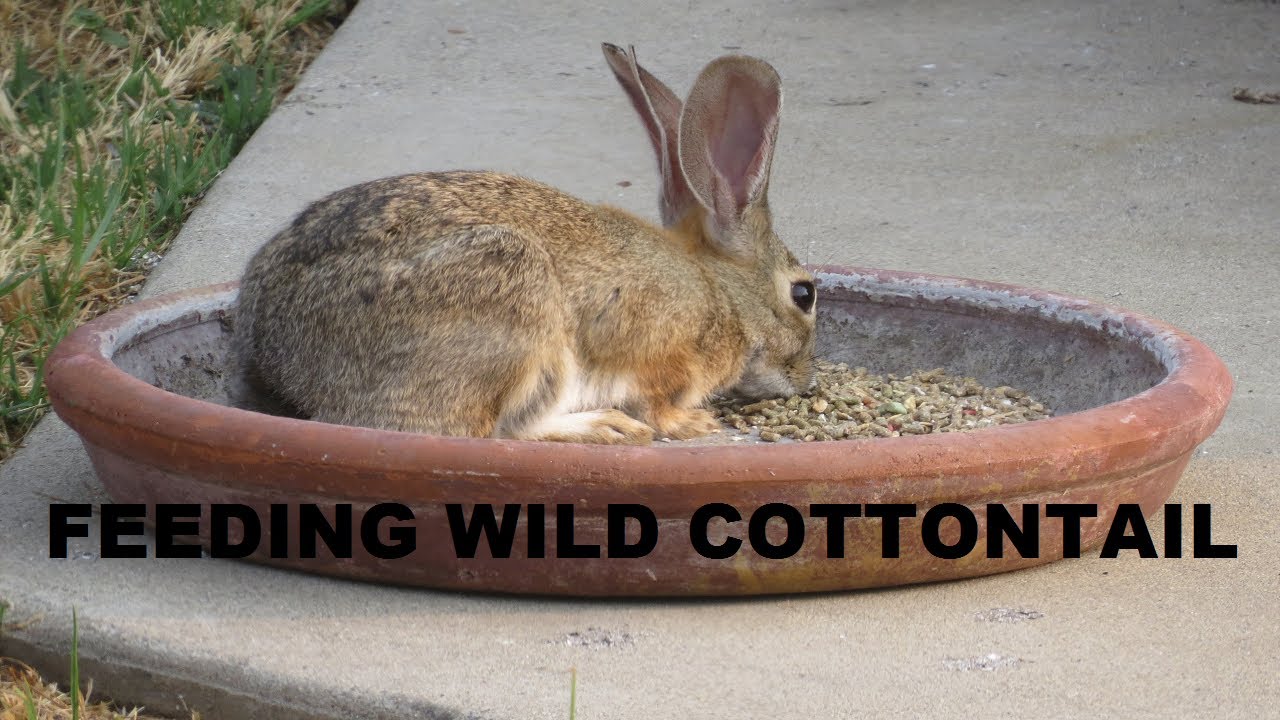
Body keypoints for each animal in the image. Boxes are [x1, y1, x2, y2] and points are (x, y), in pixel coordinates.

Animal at [231, 43, 817, 445]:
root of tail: (279, 356)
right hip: (516, 309)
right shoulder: (655, 354)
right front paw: (693, 424)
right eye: (804, 294)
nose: (805, 381)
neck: (721, 294)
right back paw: (602, 427)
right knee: (489, 430)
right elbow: (656, 403)